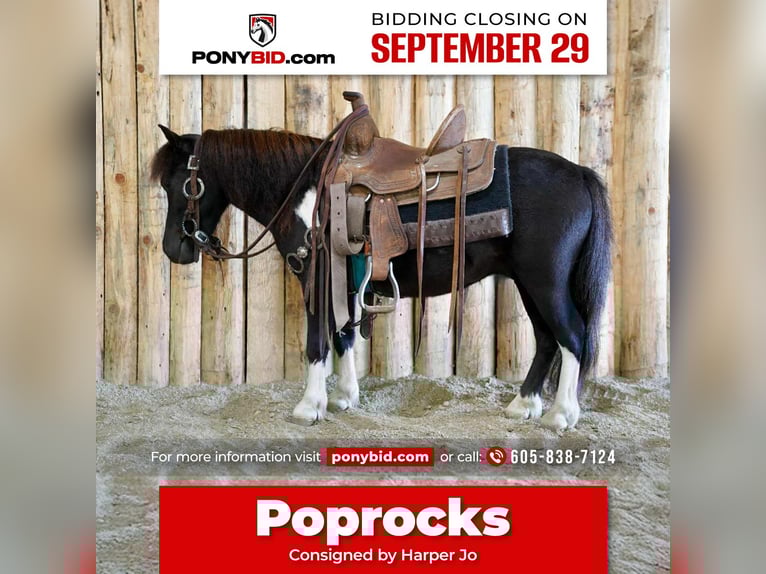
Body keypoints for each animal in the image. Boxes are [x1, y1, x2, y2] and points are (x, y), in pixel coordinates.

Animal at [150, 124, 612, 430]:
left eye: (181, 184)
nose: (173, 249)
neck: (303, 192)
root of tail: (580, 174)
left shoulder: (316, 277)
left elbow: (317, 341)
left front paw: (309, 406)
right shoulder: (341, 281)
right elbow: (342, 336)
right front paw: (343, 397)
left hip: (544, 280)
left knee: (572, 337)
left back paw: (560, 415)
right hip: (528, 282)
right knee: (548, 339)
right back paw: (524, 405)